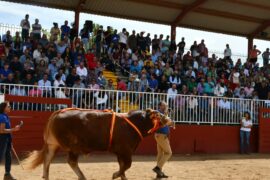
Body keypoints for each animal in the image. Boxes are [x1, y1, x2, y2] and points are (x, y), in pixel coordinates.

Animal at [23, 108, 171, 180]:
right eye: (158, 115)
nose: (169, 119)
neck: (134, 122)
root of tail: (57, 113)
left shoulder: (121, 153)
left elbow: (123, 166)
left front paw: (122, 177)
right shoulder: (125, 150)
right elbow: (127, 165)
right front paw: (115, 175)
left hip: (53, 144)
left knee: (47, 159)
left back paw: (46, 176)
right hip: (74, 147)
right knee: (71, 161)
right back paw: (82, 177)